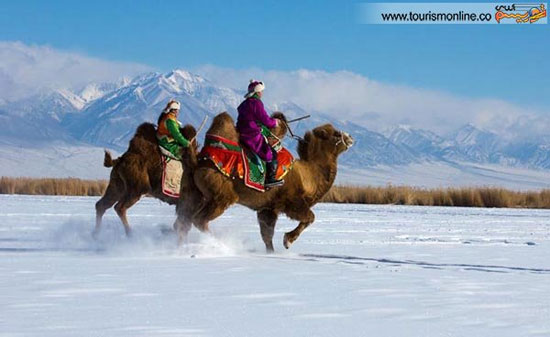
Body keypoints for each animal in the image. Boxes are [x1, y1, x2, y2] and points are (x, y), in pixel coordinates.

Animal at [177, 111, 358, 251]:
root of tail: (198, 161)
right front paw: (287, 241)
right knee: (199, 220)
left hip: (195, 194)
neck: (308, 176)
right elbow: (310, 217)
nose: (351, 138)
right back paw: (220, 243)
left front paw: (272, 252)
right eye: (336, 134)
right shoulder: (291, 202)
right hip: (221, 196)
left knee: (184, 221)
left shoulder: (267, 209)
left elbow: (267, 235)